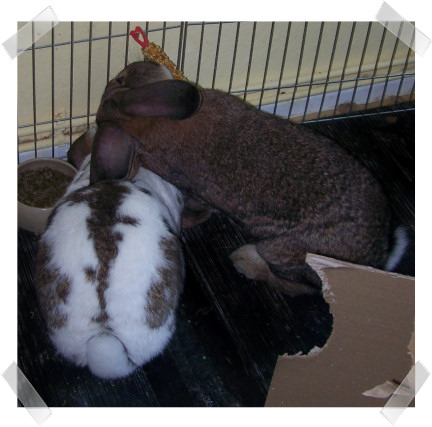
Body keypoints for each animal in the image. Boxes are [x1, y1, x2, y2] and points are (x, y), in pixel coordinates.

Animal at [90, 61, 408, 296]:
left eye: (119, 79)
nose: (142, 63)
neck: (150, 124)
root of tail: (376, 257)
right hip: (281, 250)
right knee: (300, 287)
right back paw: (244, 260)